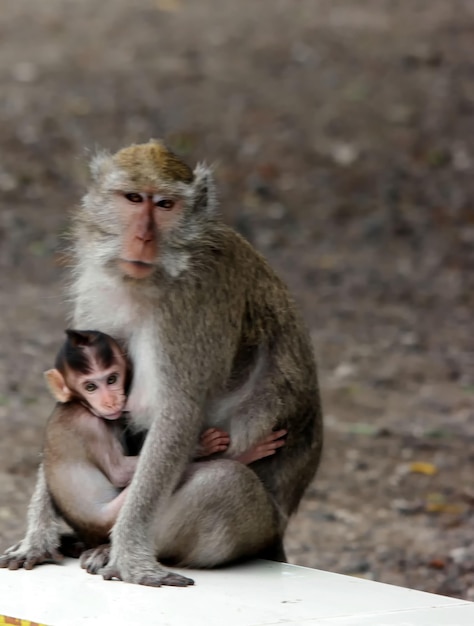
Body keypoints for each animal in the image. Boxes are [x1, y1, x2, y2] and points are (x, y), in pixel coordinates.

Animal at [43, 330, 286, 548]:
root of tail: (89, 535)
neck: (80, 404)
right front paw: (202, 447)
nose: (110, 401)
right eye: (90, 387)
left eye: (111, 379)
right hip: (114, 516)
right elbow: (119, 472)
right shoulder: (91, 426)